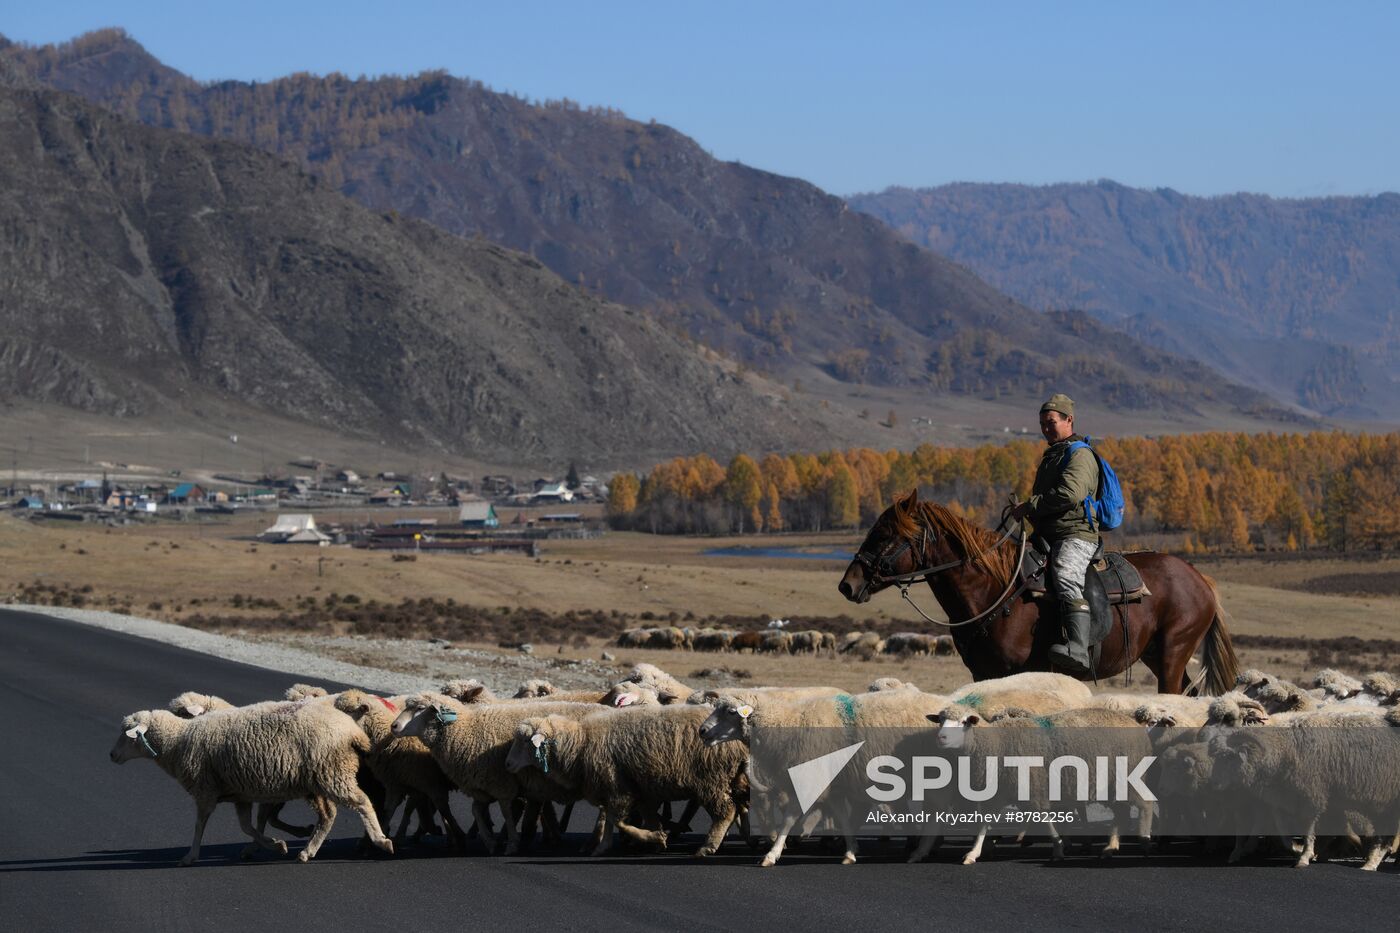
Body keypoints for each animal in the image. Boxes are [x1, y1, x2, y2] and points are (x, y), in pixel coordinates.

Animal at [834, 490, 1243, 694]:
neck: (995, 593)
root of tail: (1200, 579)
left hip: (1174, 651)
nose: (847, 584)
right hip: (1156, 655)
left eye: (884, 535)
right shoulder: (983, 674)